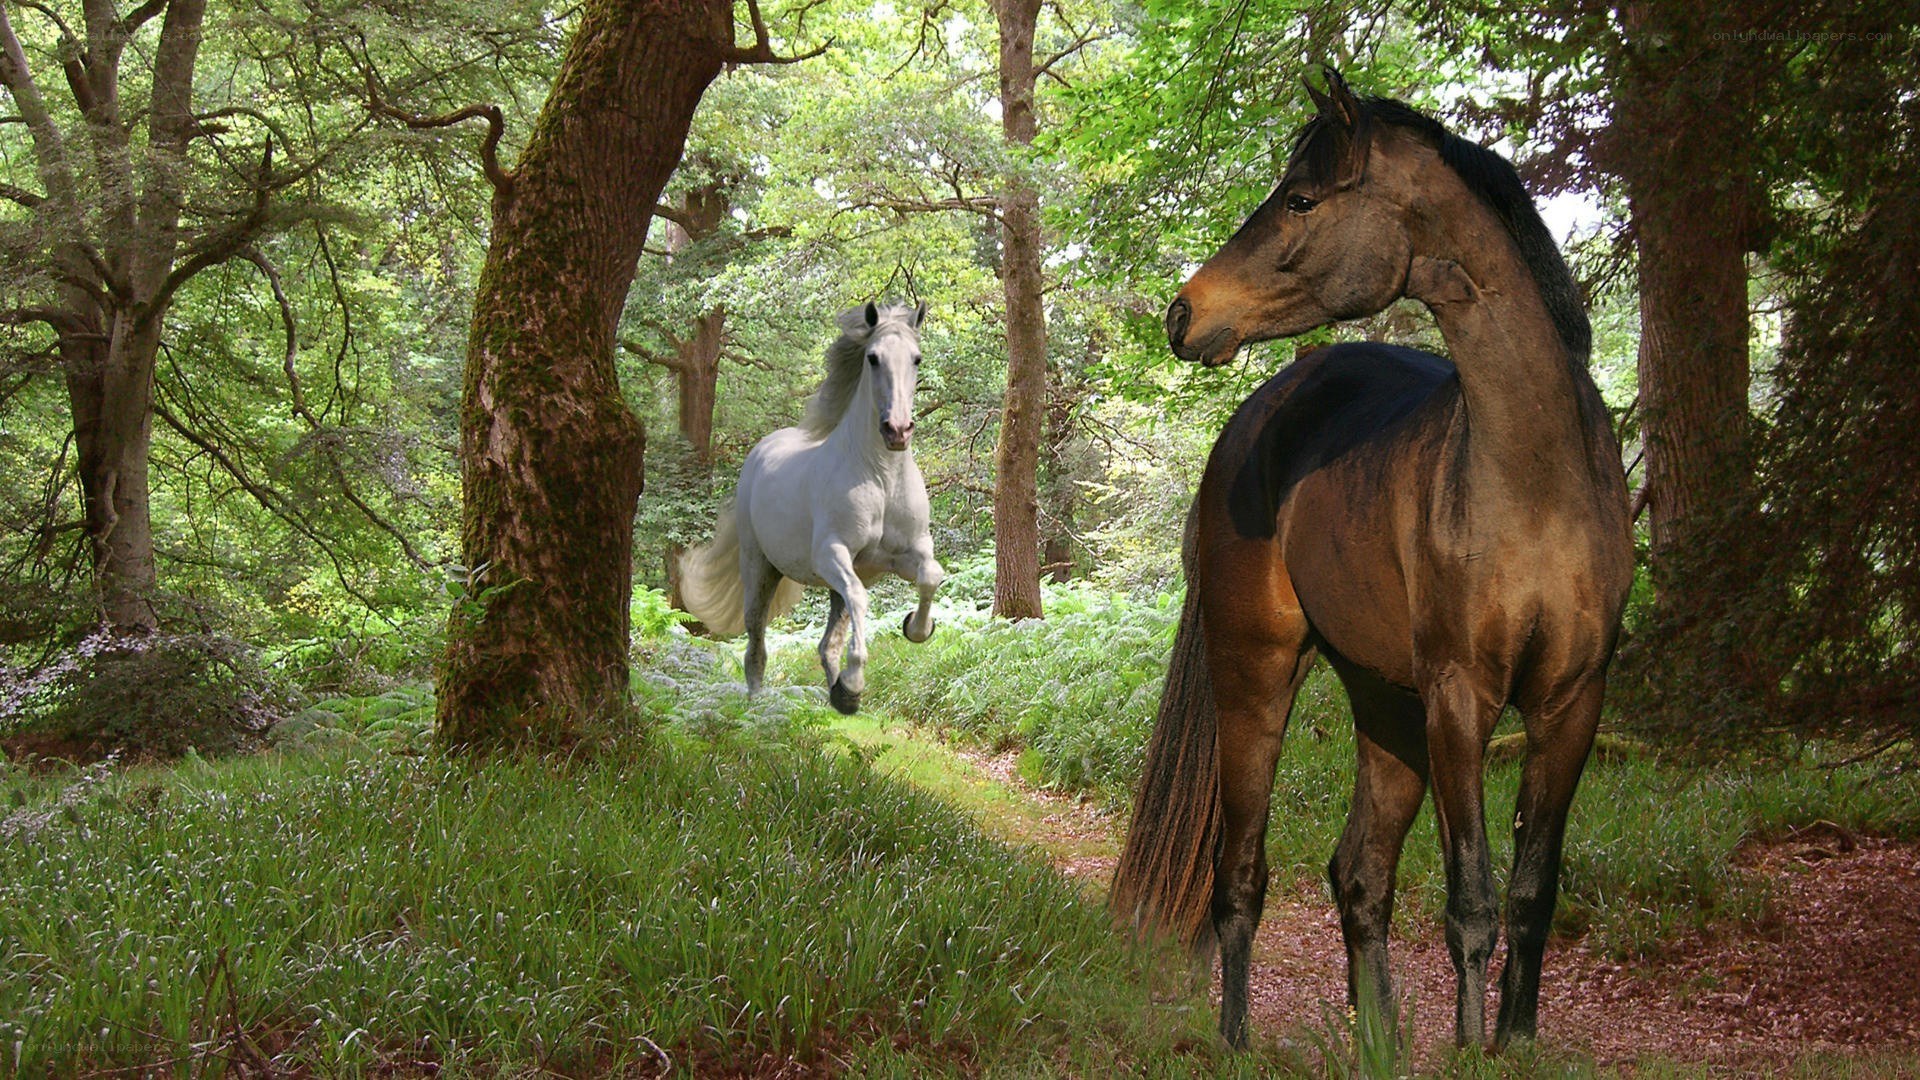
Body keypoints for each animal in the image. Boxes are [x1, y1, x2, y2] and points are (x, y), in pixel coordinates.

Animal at [679, 301, 944, 715]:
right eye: (873, 358)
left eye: (916, 358)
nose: (897, 431)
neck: (881, 477)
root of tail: (761, 451)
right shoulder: (830, 554)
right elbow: (862, 599)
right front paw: (853, 685)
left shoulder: (904, 553)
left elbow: (931, 576)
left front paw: (916, 628)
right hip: (760, 568)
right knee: (756, 642)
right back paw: (760, 707)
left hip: (830, 581)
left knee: (827, 641)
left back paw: (836, 692)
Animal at [1110, 71, 1633, 1052]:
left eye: (1302, 199)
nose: (1183, 313)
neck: (1537, 477)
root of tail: (1258, 418)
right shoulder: (1462, 698)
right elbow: (1471, 902)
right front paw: (1470, 1053)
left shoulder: (1572, 704)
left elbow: (1530, 894)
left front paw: (1510, 1045)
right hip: (1257, 680)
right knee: (1240, 875)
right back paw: (1236, 1041)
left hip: (1386, 704)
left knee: (1357, 875)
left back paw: (1377, 1043)